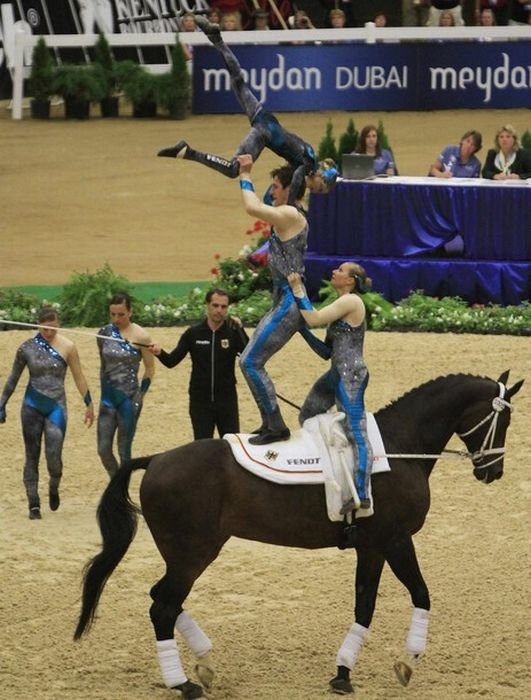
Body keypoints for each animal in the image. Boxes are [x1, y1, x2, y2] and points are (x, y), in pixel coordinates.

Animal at [74, 370, 524, 696]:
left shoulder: (371, 548)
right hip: (193, 554)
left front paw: (342, 673)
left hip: (184, 554)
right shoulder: (396, 541)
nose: (494, 471)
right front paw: (407, 662)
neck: (396, 450)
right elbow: (422, 595)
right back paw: (182, 682)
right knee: (163, 607)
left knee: (161, 598)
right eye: (503, 418)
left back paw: (205, 662)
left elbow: (364, 606)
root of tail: (155, 460)